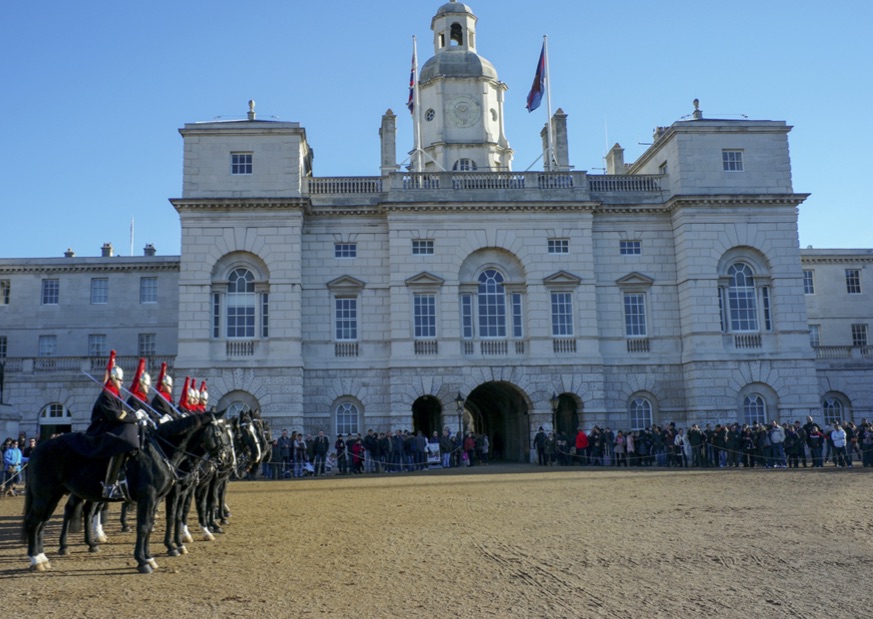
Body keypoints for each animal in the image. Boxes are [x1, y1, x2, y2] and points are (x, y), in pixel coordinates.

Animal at [23, 414, 208, 572]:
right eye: (216, 430)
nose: (218, 461)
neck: (159, 453)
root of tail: (39, 448)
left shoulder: (159, 498)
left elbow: (154, 524)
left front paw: (151, 557)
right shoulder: (151, 497)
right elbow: (147, 525)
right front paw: (145, 560)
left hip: (55, 495)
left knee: (46, 522)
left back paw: (49, 555)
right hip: (44, 495)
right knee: (37, 521)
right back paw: (39, 558)